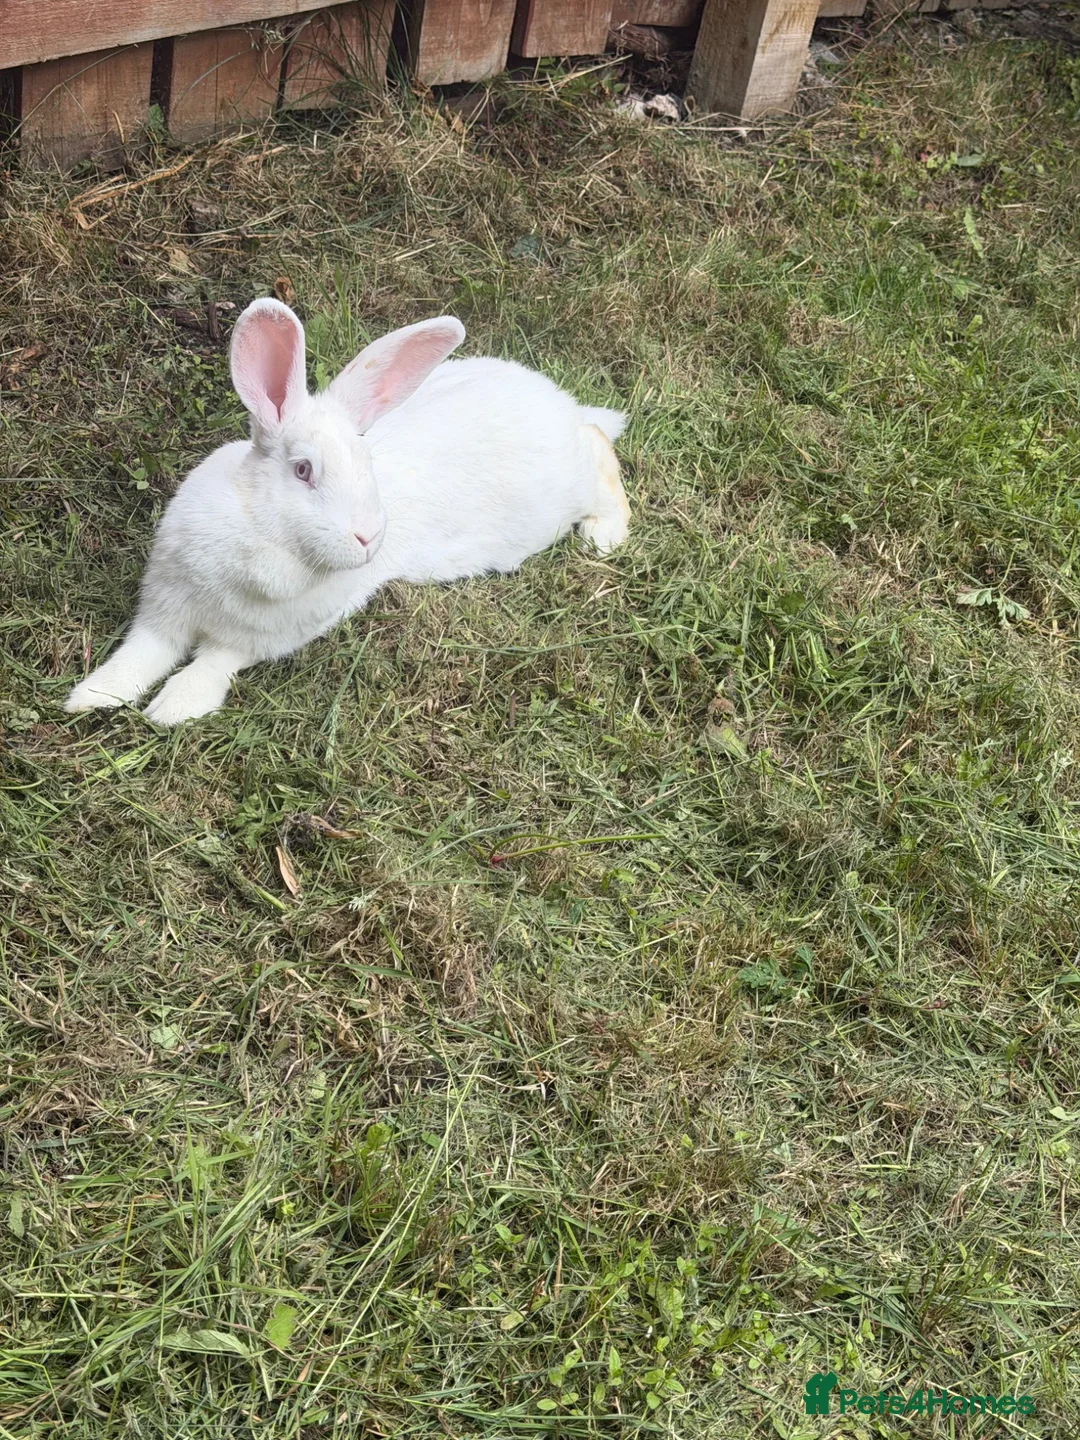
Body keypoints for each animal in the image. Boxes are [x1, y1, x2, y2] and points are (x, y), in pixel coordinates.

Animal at [65, 298, 630, 725]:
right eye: (302, 471)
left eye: (367, 465)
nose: (367, 539)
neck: (260, 540)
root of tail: (564, 408)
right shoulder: (164, 611)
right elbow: (138, 656)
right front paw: (89, 697)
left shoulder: (251, 641)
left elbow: (210, 667)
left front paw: (172, 710)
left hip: (574, 483)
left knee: (603, 457)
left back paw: (602, 535)